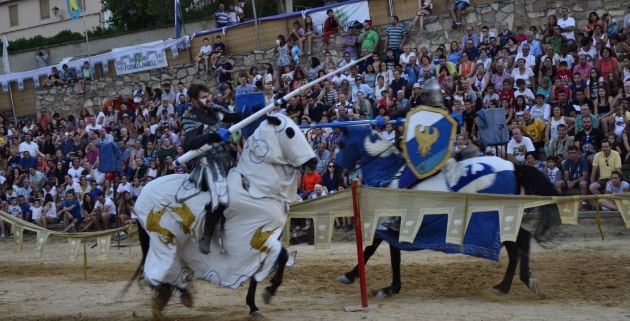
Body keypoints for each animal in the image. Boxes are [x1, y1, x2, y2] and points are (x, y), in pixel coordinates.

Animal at [334, 125, 560, 298]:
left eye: (341, 144)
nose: (335, 169)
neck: (387, 174)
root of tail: (514, 167)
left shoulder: (387, 224)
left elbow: (375, 251)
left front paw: (380, 286)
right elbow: (386, 253)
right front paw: (388, 286)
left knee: (519, 244)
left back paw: (512, 284)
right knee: (520, 244)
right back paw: (509, 285)